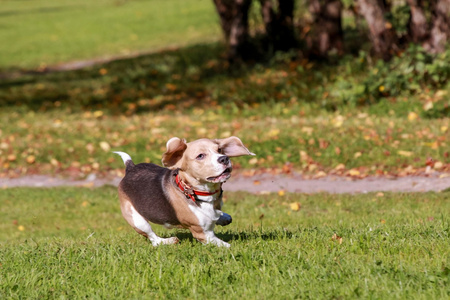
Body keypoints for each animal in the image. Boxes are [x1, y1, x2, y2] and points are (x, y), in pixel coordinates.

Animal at [114, 137, 255, 247]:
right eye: (200, 156)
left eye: (219, 150)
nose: (224, 158)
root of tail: (130, 168)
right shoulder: (203, 234)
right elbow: (226, 245)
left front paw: (223, 217)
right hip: (137, 220)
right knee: (153, 239)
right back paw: (167, 241)